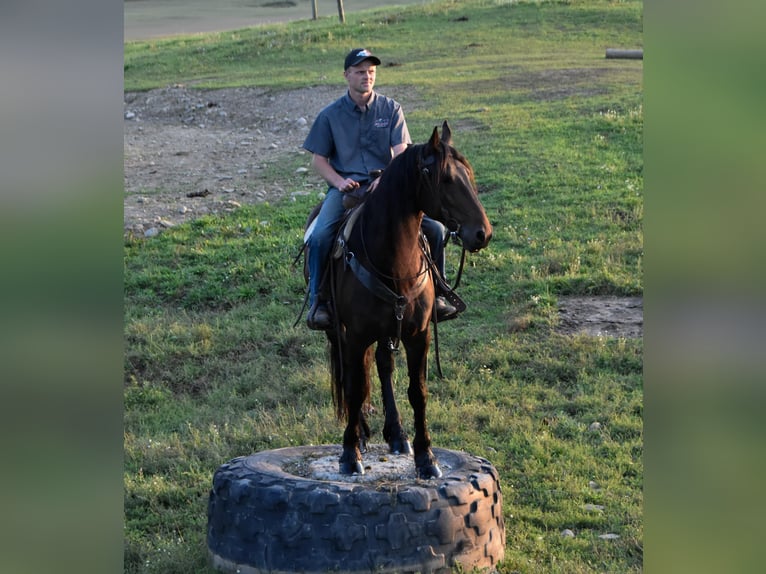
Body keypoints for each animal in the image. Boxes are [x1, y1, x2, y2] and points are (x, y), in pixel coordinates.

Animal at [308, 121, 492, 482]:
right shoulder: (355, 335)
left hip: (386, 331)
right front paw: (349, 454)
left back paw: (396, 434)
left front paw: (426, 457)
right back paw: (362, 434)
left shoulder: (418, 335)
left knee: (382, 366)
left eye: (469, 175)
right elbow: (355, 388)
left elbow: (417, 391)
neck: (393, 261)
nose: (482, 233)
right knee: (354, 376)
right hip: (340, 331)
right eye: (445, 179)